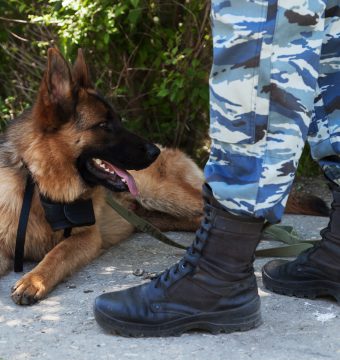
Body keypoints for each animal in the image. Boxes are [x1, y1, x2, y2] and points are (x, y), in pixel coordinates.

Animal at [0, 49, 328, 306]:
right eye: (104, 125)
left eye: (118, 120)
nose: (153, 151)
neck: (39, 186)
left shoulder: (85, 238)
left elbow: (57, 253)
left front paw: (34, 279)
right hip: (159, 215)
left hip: (166, 196)